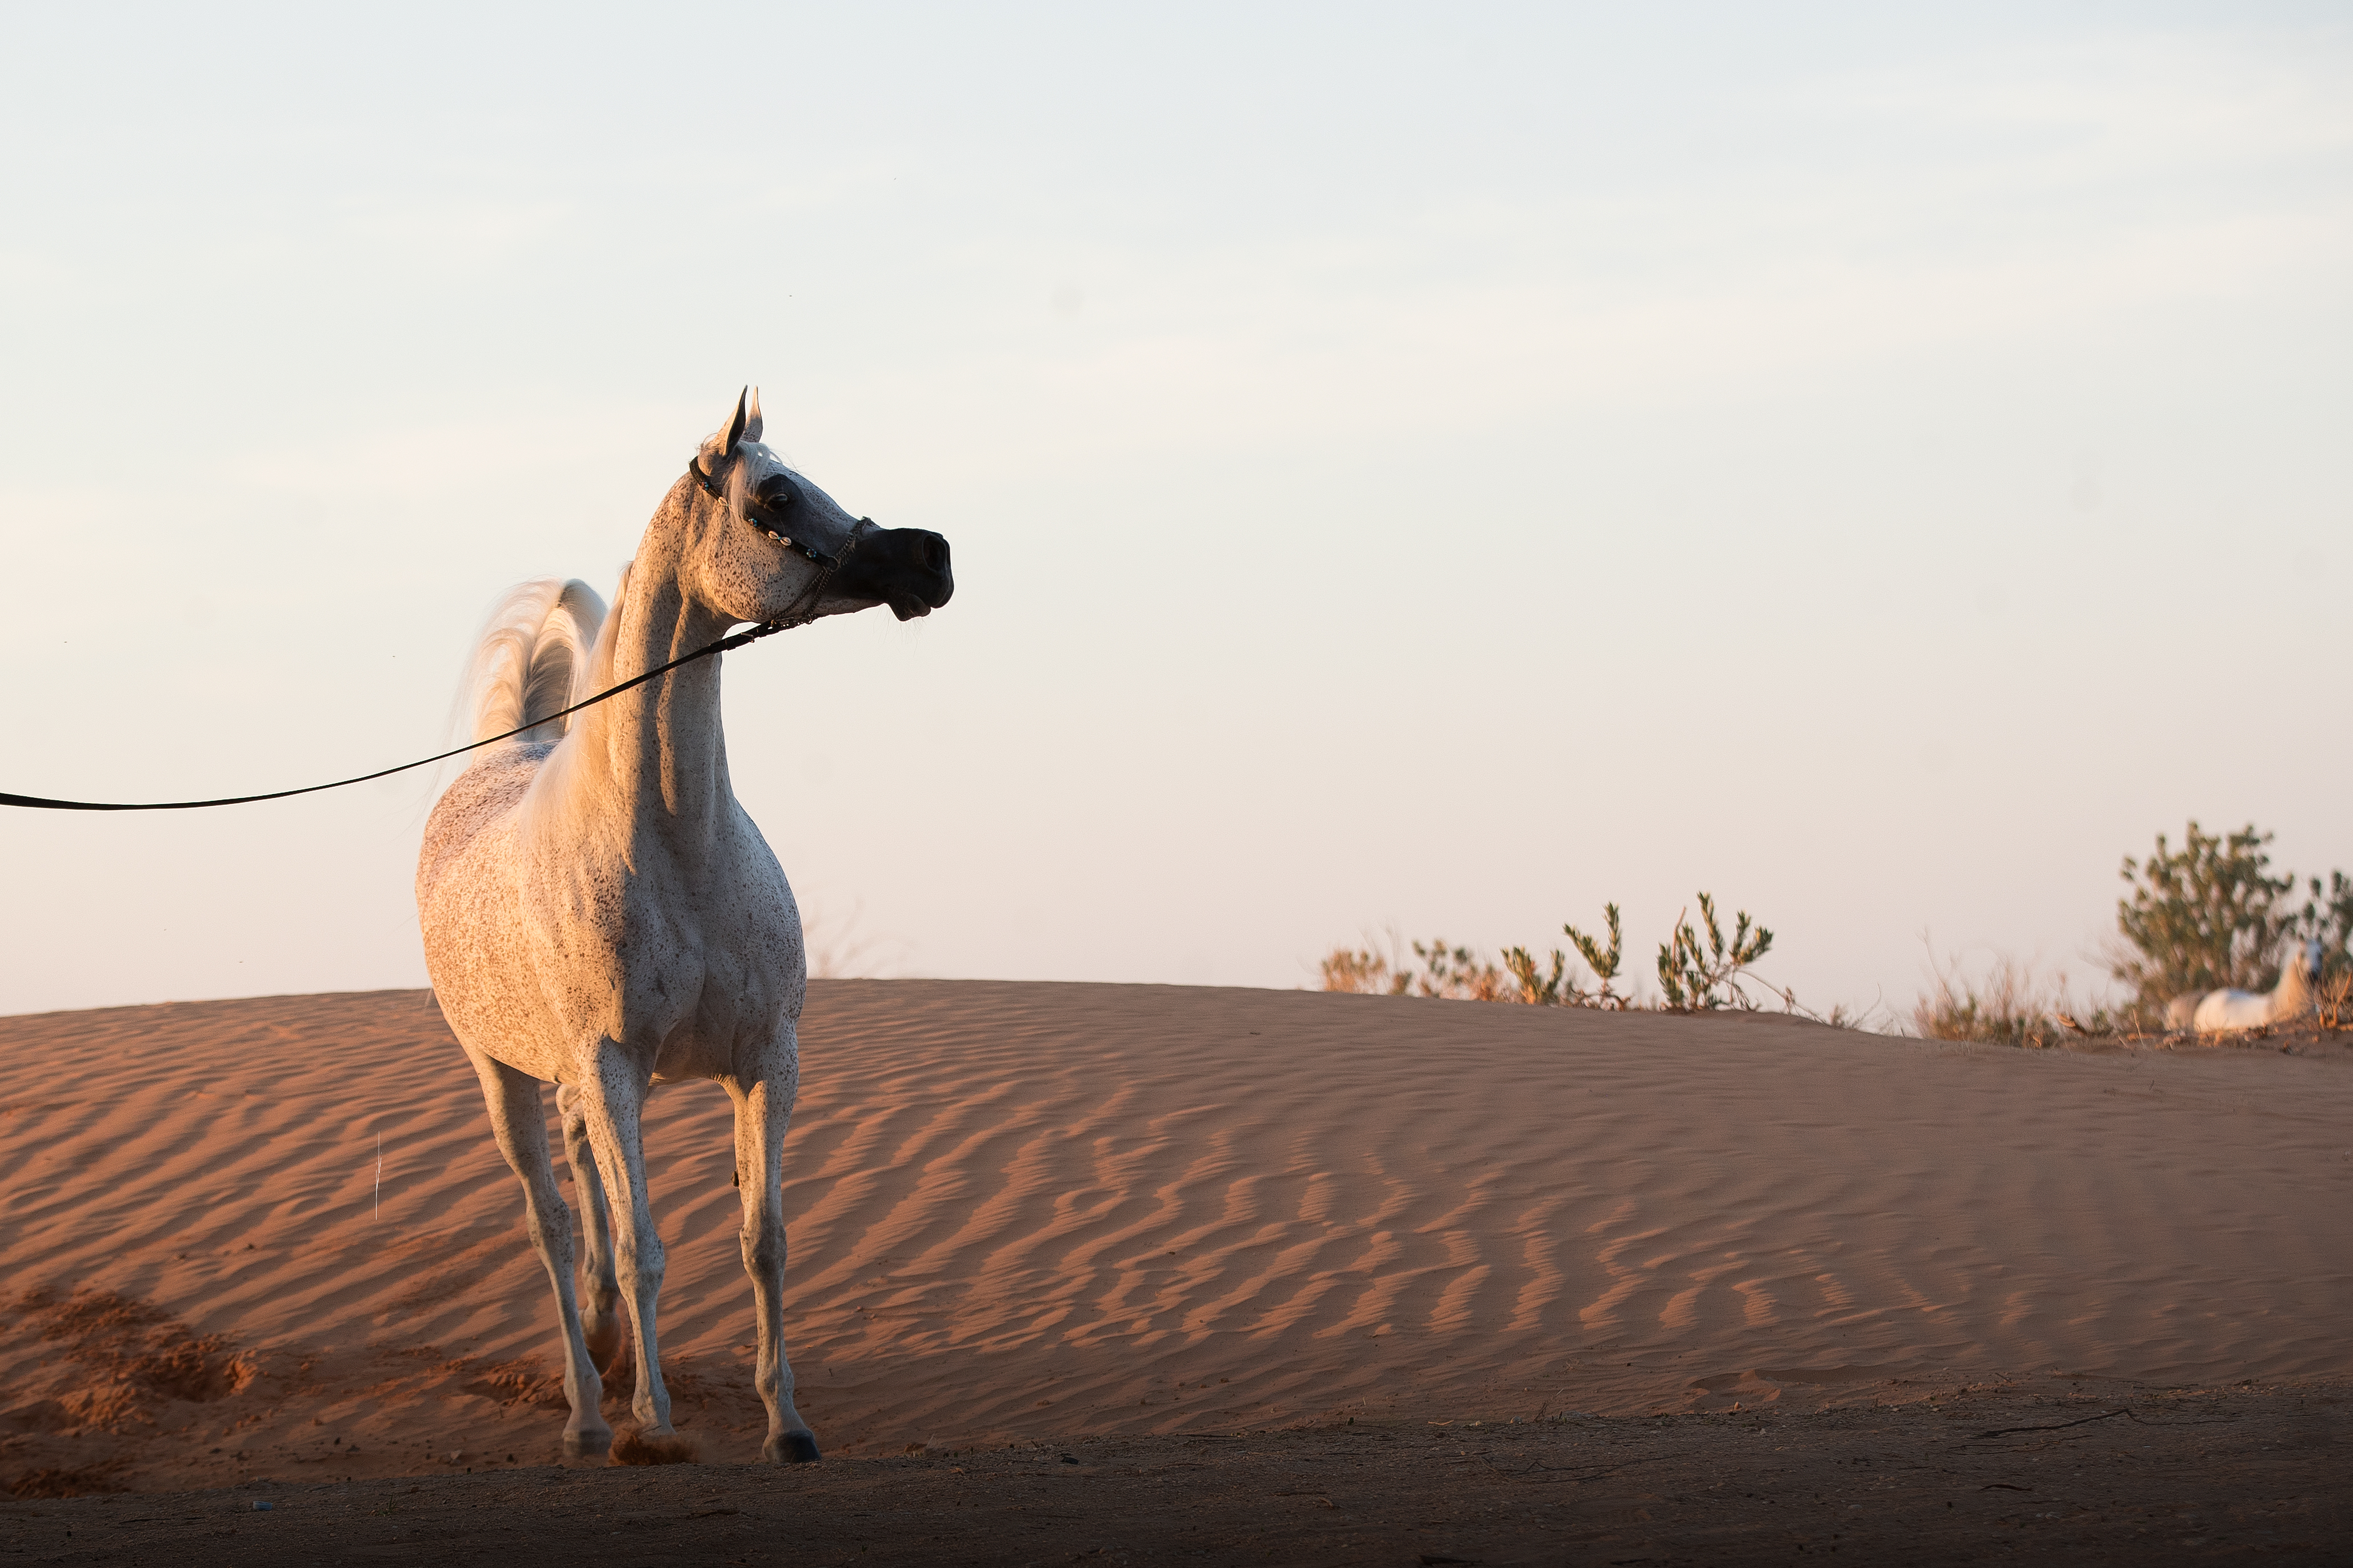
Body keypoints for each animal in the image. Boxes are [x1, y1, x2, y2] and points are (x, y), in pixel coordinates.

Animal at [415, 389, 952, 1463]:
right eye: (775, 494)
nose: (931, 556)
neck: (677, 848)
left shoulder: (764, 1062)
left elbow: (763, 1241)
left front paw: (786, 1423)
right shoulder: (614, 1068)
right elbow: (642, 1249)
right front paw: (652, 1423)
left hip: (580, 1084)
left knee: (580, 1193)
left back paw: (604, 1349)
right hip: (507, 1080)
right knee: (551, 1225)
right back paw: (589, 1412)